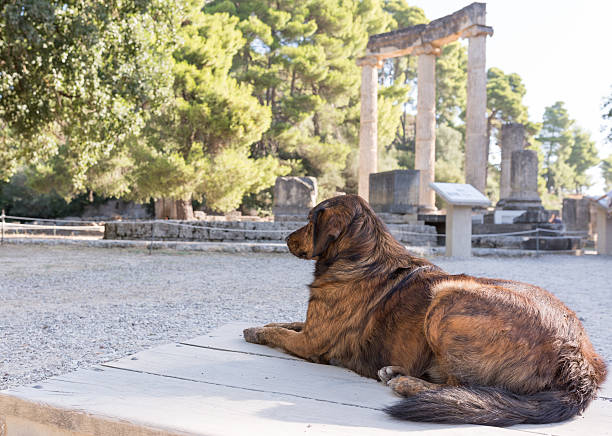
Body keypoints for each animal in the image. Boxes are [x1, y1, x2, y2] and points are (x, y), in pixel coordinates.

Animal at [244, 194, 608, 426]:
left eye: (309, 221)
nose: (285, 239)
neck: (361, 255)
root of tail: (578, 358)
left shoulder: (311, 342)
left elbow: (279, 333)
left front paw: (256, 331)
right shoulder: (311, 328)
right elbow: (284, 322)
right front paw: (262, 325)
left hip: (446, 297)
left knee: (462, 387)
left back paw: (405, 383)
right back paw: (396, 373)